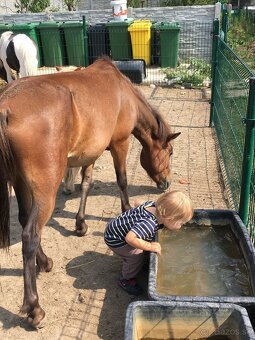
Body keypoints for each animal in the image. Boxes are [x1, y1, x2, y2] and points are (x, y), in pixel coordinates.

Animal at [0, 58, 180, 326]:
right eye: (169, 151)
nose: (166, 183)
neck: (124, 92)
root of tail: (7, 104)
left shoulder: (90, 153)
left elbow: (86, 183)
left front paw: (80, 223)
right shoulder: (119, 144)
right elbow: (122, 180)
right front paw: (126, 210)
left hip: (20, 183)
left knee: (24, 221)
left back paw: (45, 262)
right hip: (44, 191)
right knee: (30, 235)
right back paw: (34, 308)